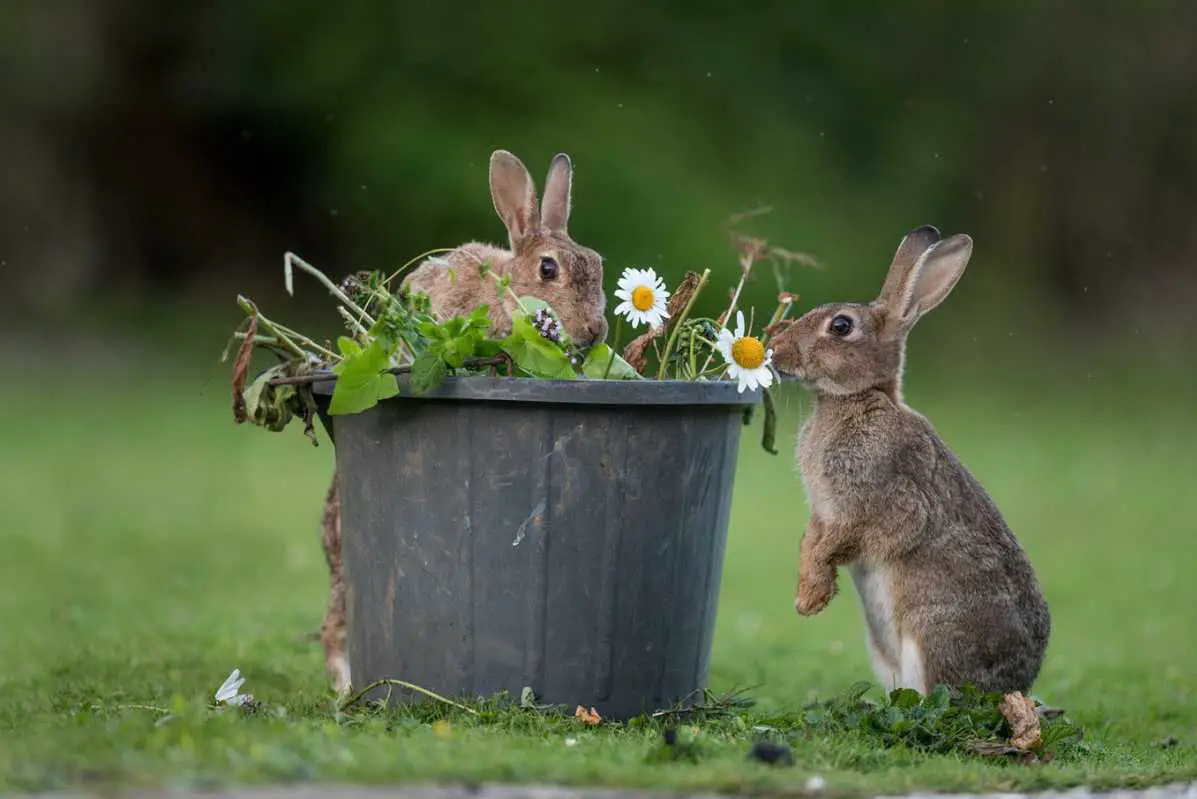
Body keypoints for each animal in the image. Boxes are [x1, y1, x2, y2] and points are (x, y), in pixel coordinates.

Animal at [766, 223, 1048, 693]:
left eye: (840, 325)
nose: (775, 349)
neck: (858, 400)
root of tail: (1019, 683)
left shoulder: (883, 502)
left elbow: (841, 543)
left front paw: (811, 599)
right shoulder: (823, 511)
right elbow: (811, 541)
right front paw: (805, 596)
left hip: (932, 640)